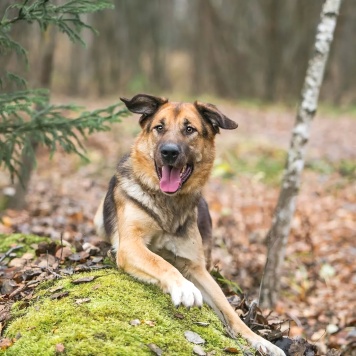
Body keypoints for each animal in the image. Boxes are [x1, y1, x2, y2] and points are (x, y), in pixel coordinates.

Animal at [93, 93, 286, 354]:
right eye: (159, 127)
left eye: (189, 129)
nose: (169, 152)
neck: (168, 204)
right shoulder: (130, 245)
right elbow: (161, 262)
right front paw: (183, 287)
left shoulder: (196, 267)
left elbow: (229, 310)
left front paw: (261, 340)